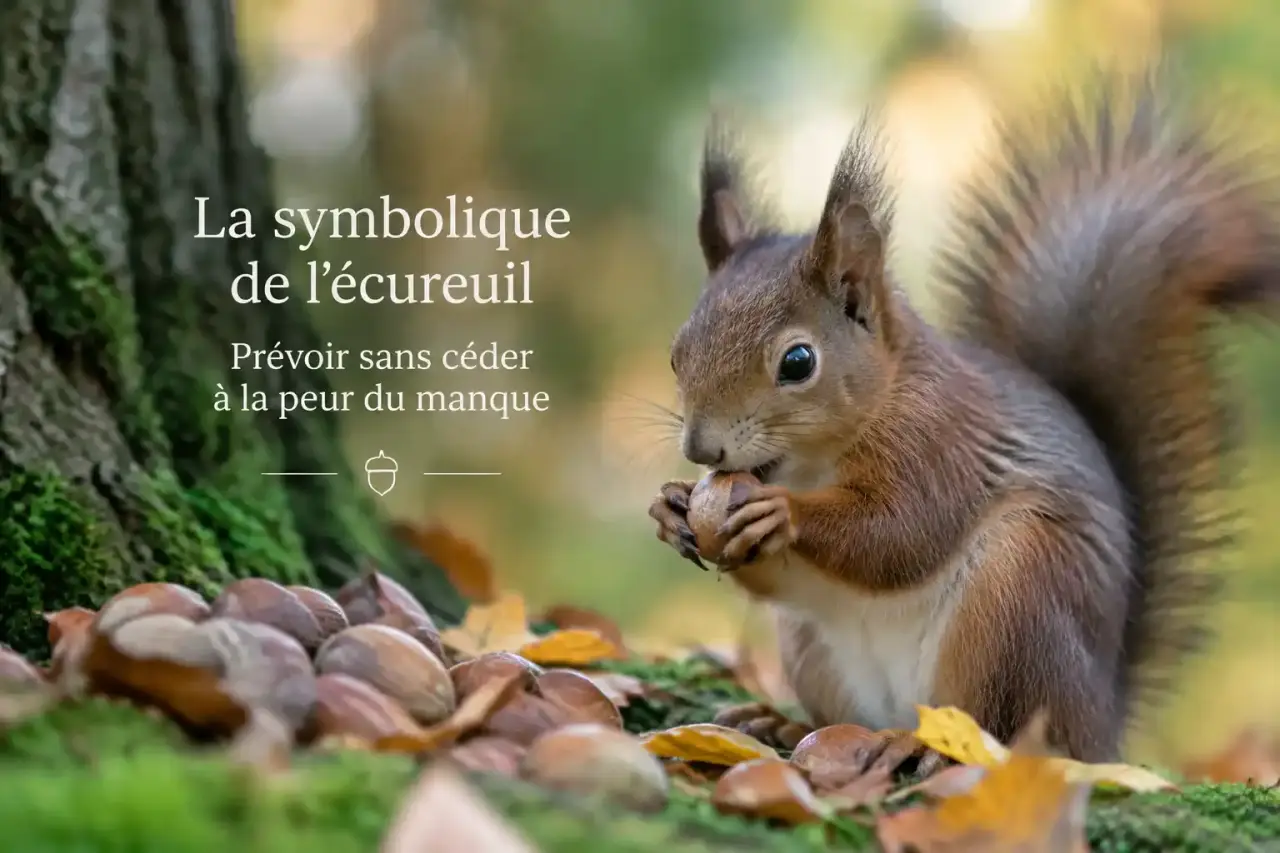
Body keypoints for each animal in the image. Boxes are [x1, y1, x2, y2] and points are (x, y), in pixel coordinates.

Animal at [648, 65, 1280, 765]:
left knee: (996, 732)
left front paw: (780, 513)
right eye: (677, 353)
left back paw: (922, 748)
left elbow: (900, 532)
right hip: (816, 650)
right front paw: (672, 509)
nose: (701, 451)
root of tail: (1100, 725)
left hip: (1015, 606)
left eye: (797, 362)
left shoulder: (941, 442)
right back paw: (787, 726)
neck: (816, 461)